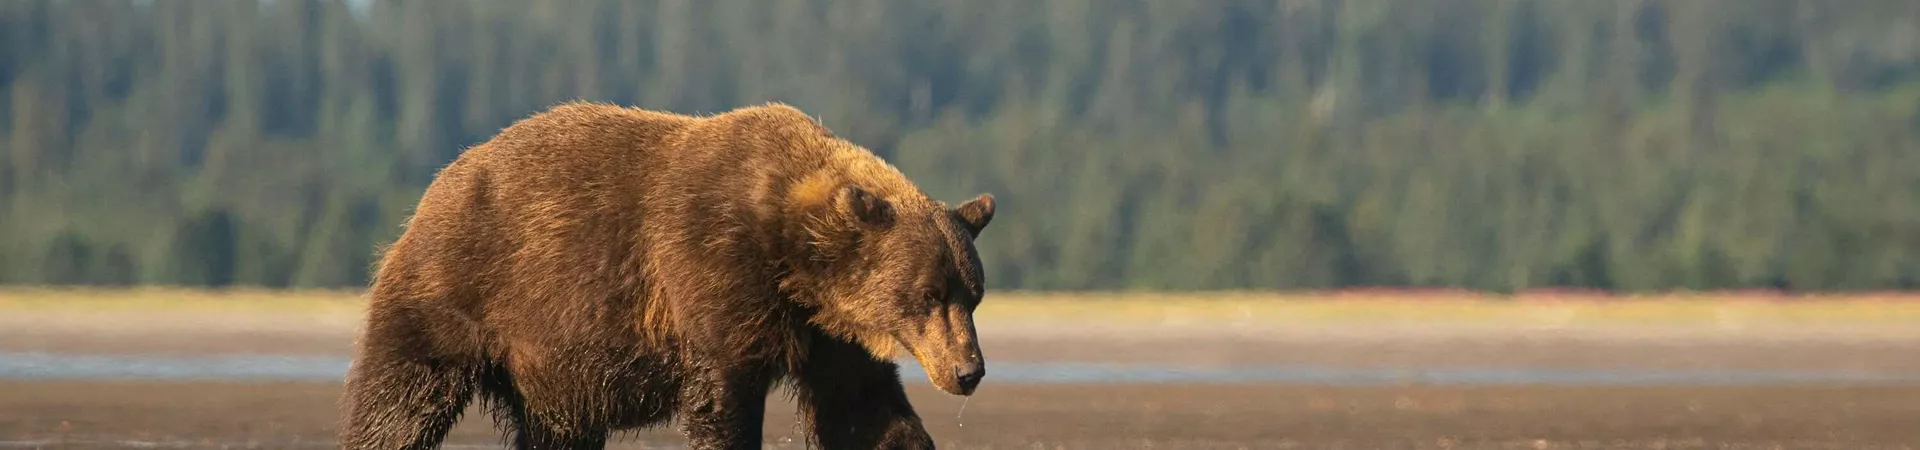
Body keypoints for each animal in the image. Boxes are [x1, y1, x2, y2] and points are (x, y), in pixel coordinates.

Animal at [343, 101, 998, 450]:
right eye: (928, 294)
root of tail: (438, 184)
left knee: (558, 430)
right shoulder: (711, 270)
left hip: (548, 365)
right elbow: (721, 398)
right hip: (456, 289)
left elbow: (866, 412)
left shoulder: (829, 334)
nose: (969, 371)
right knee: (398, 400)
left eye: (973, 295)